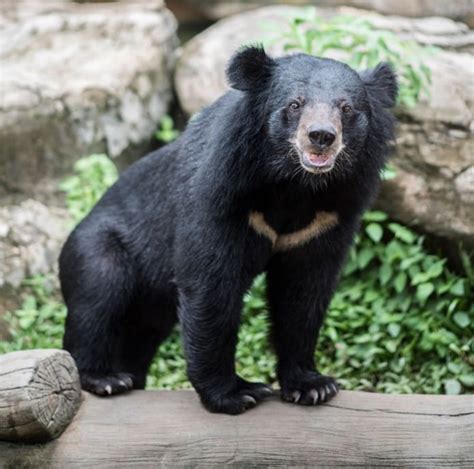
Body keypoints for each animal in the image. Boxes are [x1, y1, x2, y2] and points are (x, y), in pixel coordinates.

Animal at [61, 46, 398, 414]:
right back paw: (105, 378)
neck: (295, 184)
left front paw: (313, 386)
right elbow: (213, 285)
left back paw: (129, 376)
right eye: (295, 104)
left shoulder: (328, 218)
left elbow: (303, 294)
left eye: (347, 108)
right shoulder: (223, 195)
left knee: (140, 330)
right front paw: (237, 393)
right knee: (99, 299)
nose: (321, 136)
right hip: (100, 247)